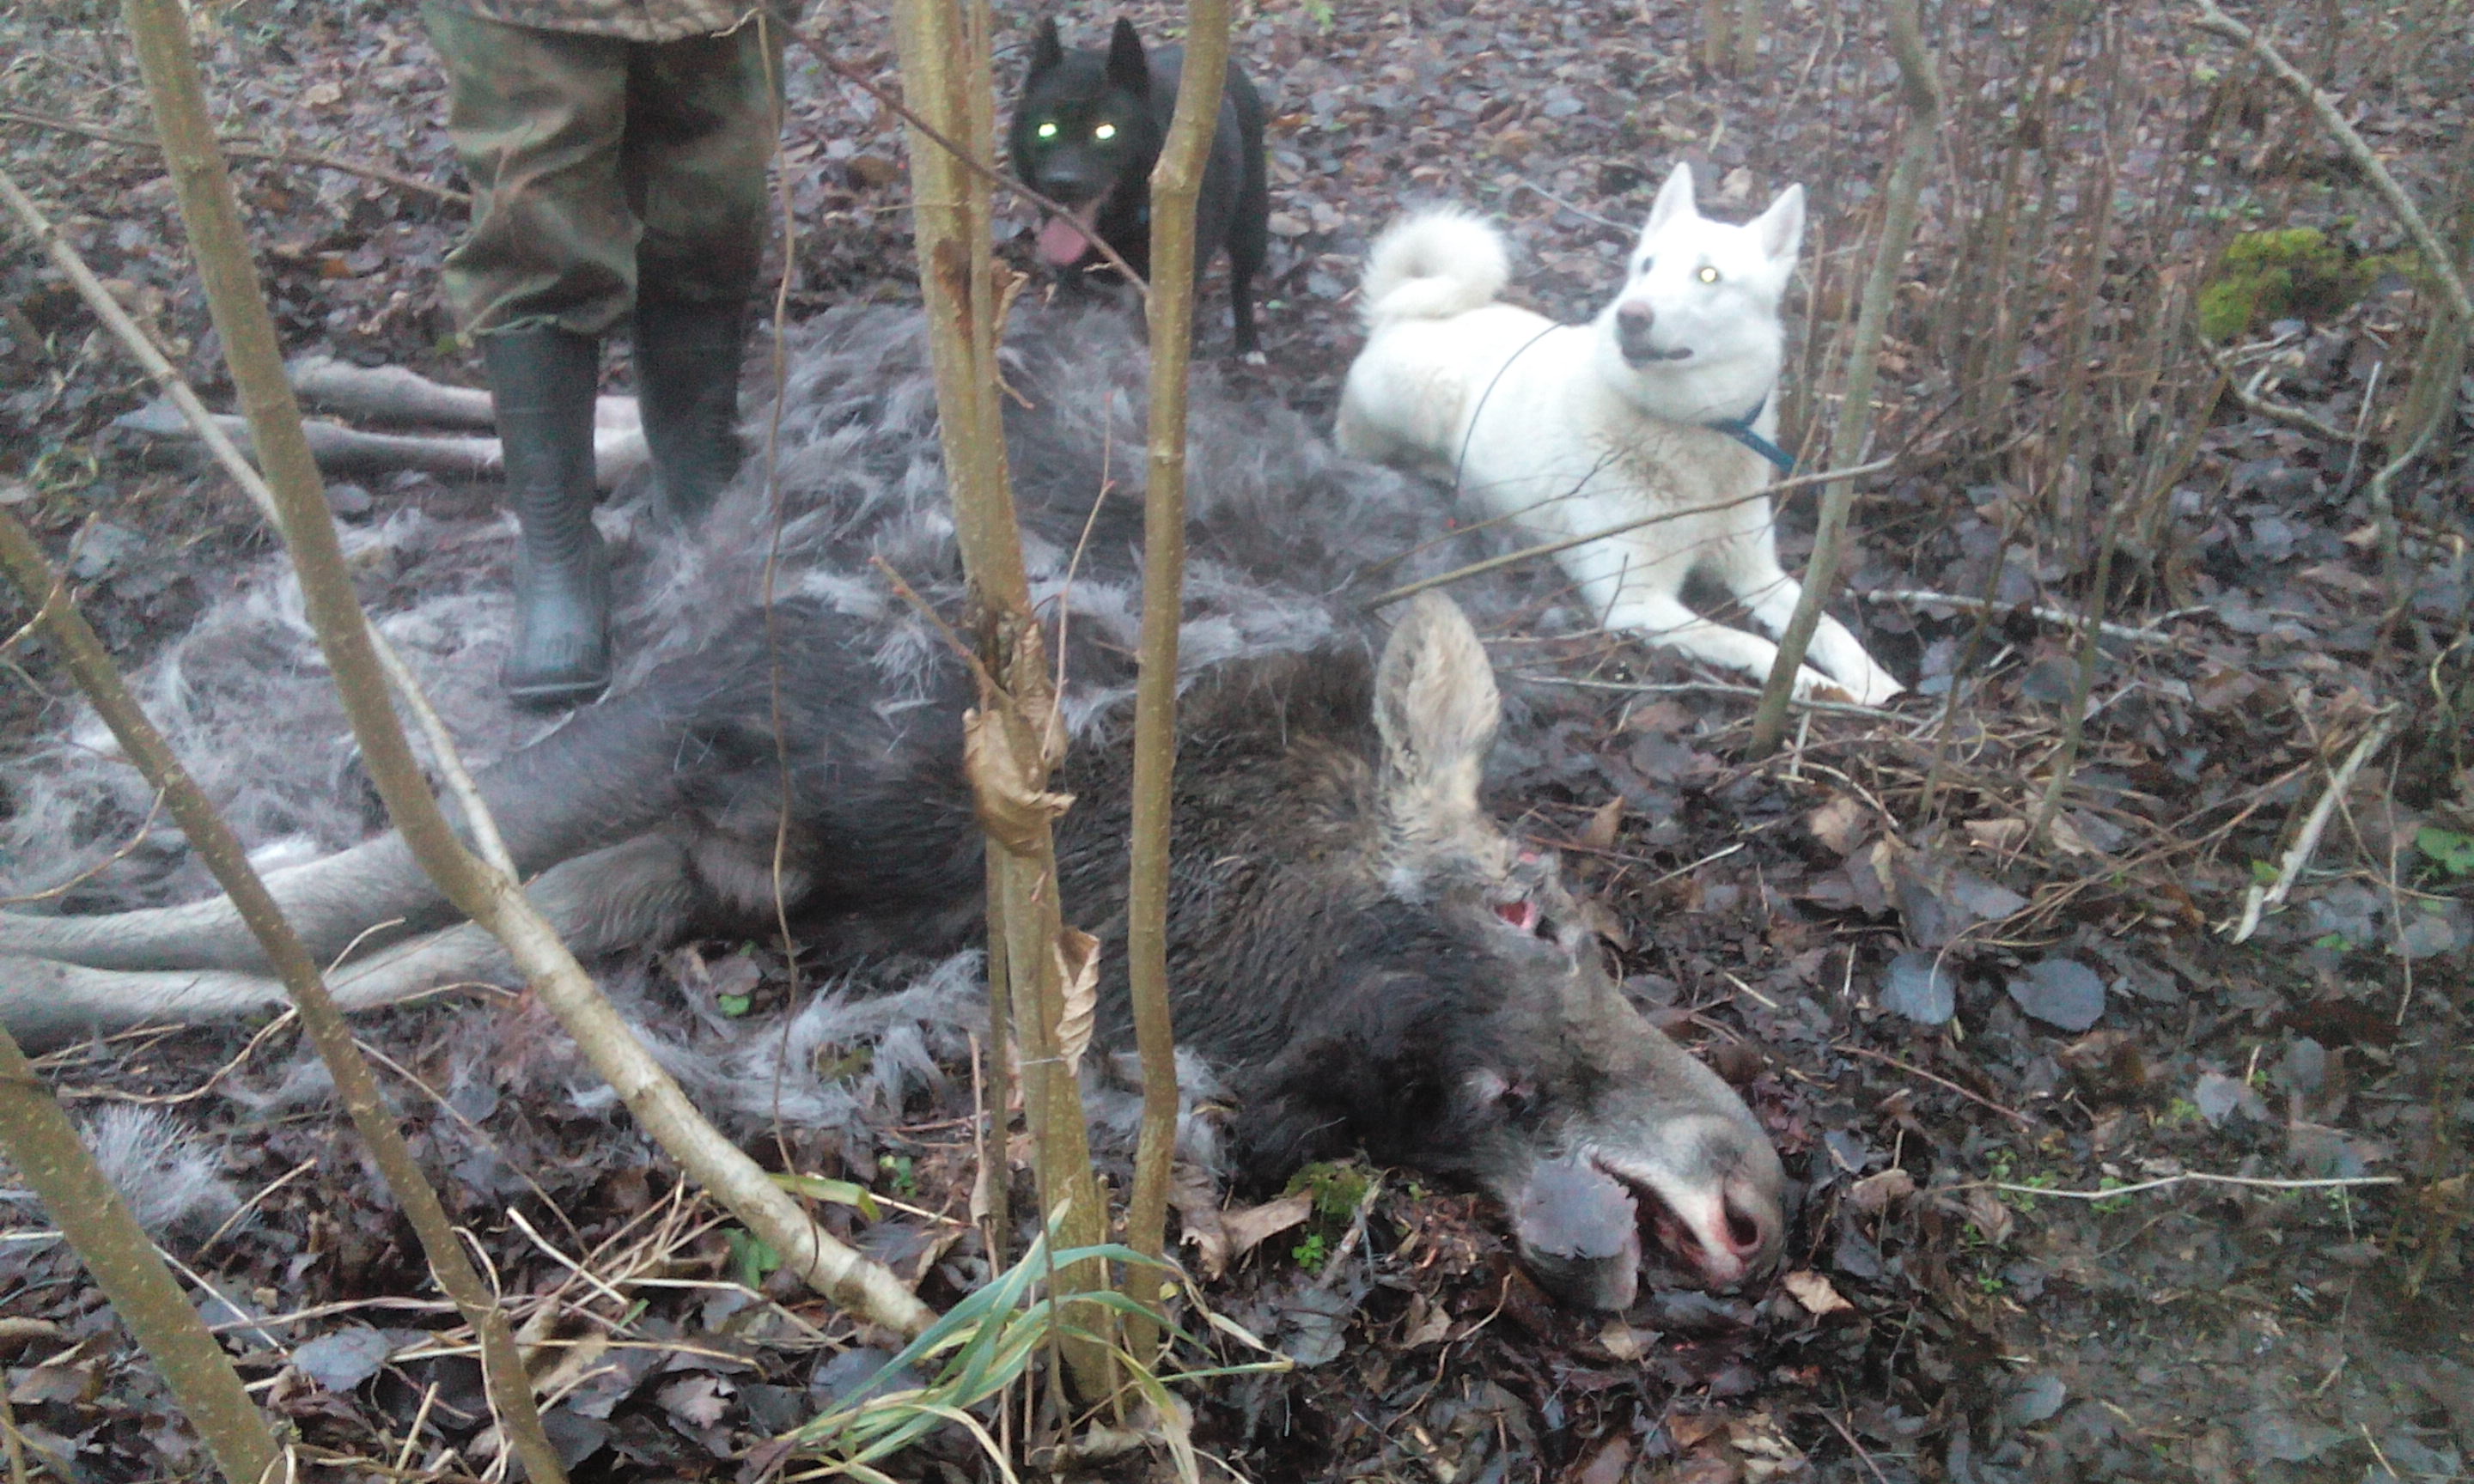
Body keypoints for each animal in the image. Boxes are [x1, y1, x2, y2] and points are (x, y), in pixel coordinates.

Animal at [1009, 16, 1271, 358]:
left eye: (1106, 131)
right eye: (1046, 129)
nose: (1063, 183)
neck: (1118, 228)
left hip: (1250, 225)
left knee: (1241, 281)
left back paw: (1249, 344)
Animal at [1335, 163, 1903, 704]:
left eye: (1709, 274)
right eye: (1647, 266)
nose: (1631, 316)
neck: (1689, 428)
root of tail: (1395, 310)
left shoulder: (1755, 570)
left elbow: (1825, 624)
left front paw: (1876, 681)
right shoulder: (1635, 599)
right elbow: (1752, 643)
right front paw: (1821, 689)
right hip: (1426, 397)